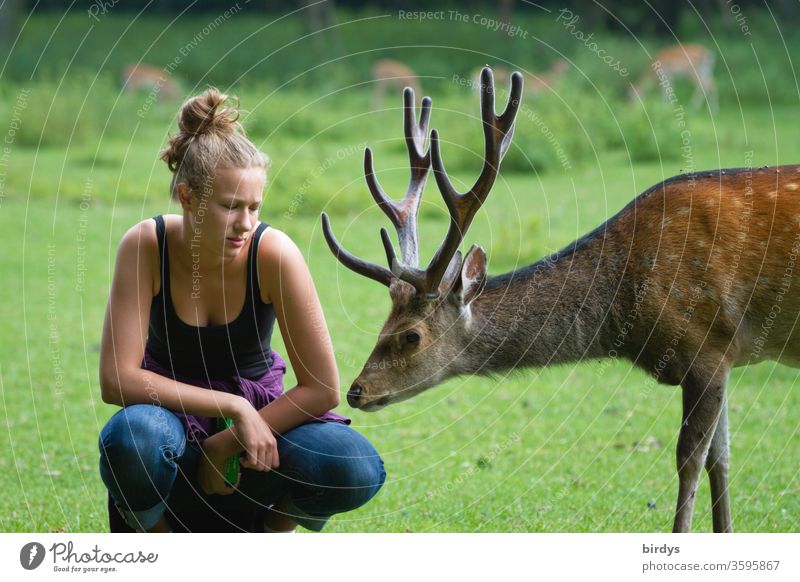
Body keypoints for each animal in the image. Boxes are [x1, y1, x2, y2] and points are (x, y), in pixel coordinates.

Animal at [322, 68, 800, 532]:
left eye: (411, 336)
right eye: (383, 326)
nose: (356, 391)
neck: (632, 311)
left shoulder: (706, 345)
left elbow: (691, 459)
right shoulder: (720, 359)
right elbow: (722, 459)